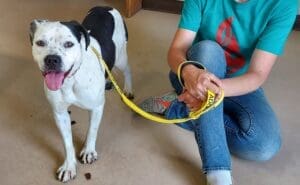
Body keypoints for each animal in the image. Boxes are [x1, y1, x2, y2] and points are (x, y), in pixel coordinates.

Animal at [29, 6, 134, 182]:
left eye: (69, 44)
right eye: (40, 43)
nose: (52, 59)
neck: (71, 80)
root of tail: (106, 7)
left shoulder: (97, 107)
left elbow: (92, 130)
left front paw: (88, 151)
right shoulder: (60, 113)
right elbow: (67, 142)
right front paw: (69, 166)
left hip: (121, 57)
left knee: (127, 70)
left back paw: (128, 89)